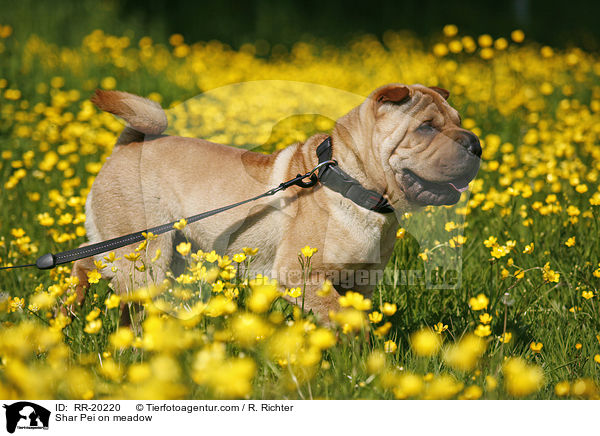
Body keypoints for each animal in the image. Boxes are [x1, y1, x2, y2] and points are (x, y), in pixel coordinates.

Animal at [71, 83, 482, 322]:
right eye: (426, 128)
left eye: (460, 121)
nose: (475, 143)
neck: (354, 183)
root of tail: (128, 145)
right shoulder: (299, 275)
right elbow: (342, 316)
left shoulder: (359, 283)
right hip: (145, 256)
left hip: (150, 253)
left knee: (86, 263)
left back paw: (69, 310)